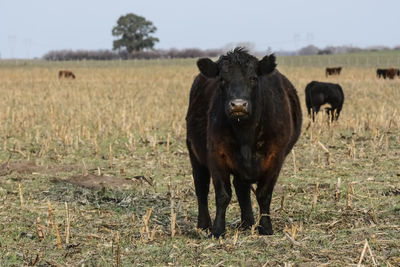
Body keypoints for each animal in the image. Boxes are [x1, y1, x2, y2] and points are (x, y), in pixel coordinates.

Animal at [186, 48, 302, 239]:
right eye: (222, 79)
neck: (246, 133)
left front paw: (265, 228)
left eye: (253, 78)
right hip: (194, 153)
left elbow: (264, 194)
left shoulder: (275, 157)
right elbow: (223, 195)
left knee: (241, 188)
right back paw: (204, 225)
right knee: (201, 187)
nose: (238, 105)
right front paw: (217, 230)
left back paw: (247, 222)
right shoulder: (216, 155)